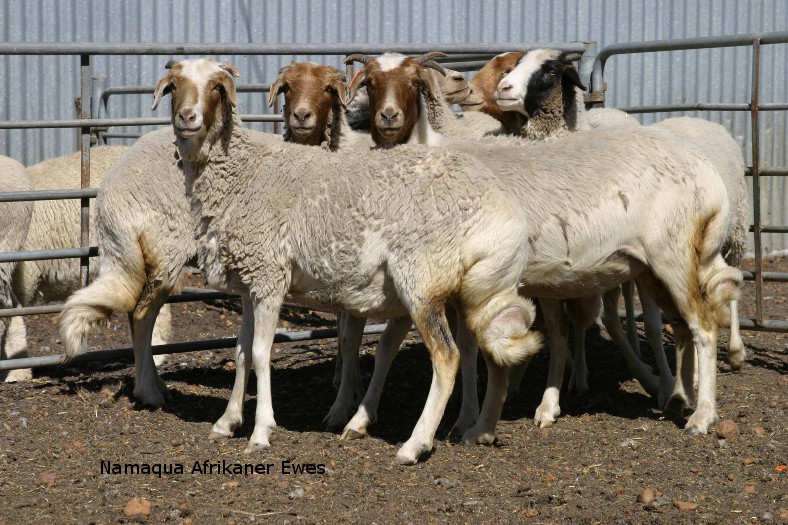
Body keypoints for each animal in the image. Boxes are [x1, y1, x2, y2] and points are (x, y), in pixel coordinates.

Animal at [114, 59, 544, 464]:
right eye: (174, 87)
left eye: (217, 88)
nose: (188, 118)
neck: (241, 172)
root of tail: (503, 211)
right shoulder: (251, 281)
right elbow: (241, 351)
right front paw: (227, 422)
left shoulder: (270, 276)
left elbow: (260, 354)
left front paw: (261, 432)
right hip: (473, 288)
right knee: (493, 350)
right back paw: (480, 430)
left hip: (422, 279)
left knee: (448, 356)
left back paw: (415, 445)